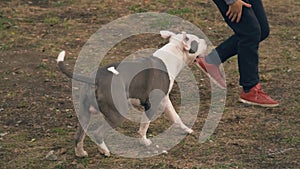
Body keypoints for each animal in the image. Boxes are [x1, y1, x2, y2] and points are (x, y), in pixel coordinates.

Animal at [56, 30, 206, 157]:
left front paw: (186, 130)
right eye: (197, 42)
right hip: (118, 113)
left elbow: (175, 117)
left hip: (84, 113)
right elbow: (144, 125)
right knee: (97, 133)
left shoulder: (165, 100)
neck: (172, 56)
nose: (205, 41)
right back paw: (104, 151)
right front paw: (144, 142)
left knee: (79, 135)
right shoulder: (152, 104)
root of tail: (95, 78)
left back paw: (81, 153)